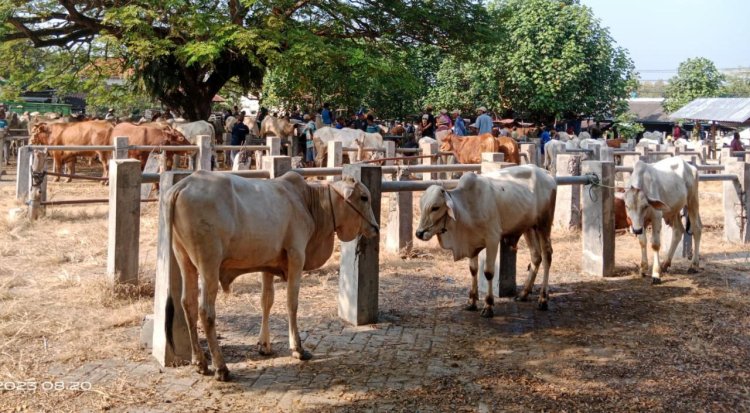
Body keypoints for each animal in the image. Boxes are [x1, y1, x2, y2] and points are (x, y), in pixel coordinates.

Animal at [162, 171, 378, 380]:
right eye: (364, 197)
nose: (375, 227)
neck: (308, 202)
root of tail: (183, 185)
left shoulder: (267, 264)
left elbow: (266, 300)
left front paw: (264, 345)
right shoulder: (296, 255)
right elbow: (292, 303)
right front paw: (298, 348)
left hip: (184, 260)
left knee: (188, 304)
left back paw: (199, 361)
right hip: (209, 264)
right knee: (205, 311)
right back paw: (221, 368)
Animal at [418, 166, 560, 314]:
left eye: (435, 207)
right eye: (421, 205)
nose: (419, 233)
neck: (467, 205)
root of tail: (546, 173)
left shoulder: (492, 239)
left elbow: (488, 272)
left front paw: (488, 305)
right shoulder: (472, 243)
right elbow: (473, 270)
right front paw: (472, 301)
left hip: (544, 225)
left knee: (547, 256)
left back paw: (543, 299)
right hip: (529, 227)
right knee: (536, 256)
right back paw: (524, 294)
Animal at [624, 154, 704, 284]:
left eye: (645, 206)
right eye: (627, 206)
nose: (636, 230)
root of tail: (690, 167)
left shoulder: (656, 216)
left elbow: (655, 244)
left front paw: (656, 274)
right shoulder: (641, 223)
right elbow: (642, 241)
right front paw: (643, 268)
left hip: (692, 201)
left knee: (697, 229)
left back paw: (693, 265)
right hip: (675, 210)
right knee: (678, 231)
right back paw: (666, 264)